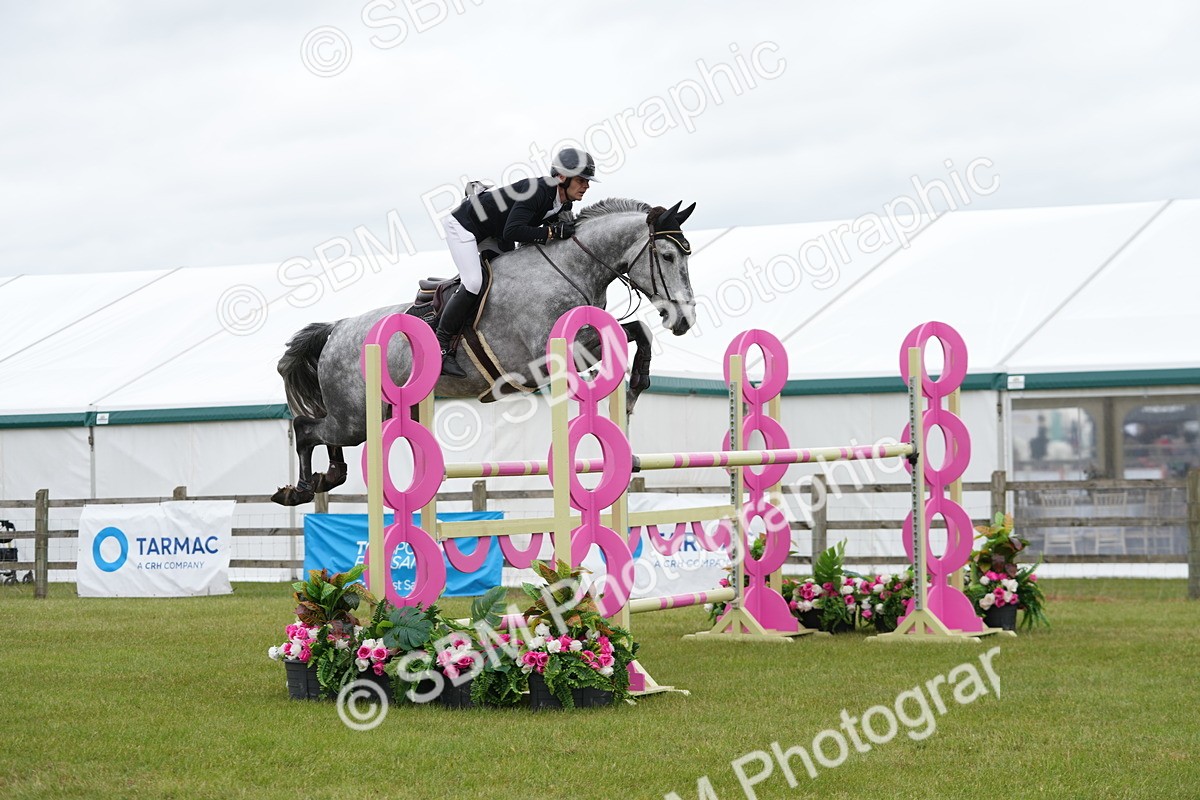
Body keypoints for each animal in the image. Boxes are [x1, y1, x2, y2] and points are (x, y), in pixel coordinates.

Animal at [271, 198, 699, 506]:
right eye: (667, 256)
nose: (684, 319)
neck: (570, 268)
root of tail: (337, 329)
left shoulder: (585, 339)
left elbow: (638, 331)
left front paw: (634, 389)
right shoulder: (546, 357)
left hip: (376, 414)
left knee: (326, 435)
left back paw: (328, 476)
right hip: (357, 416)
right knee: (307, 428)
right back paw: (300, 489)